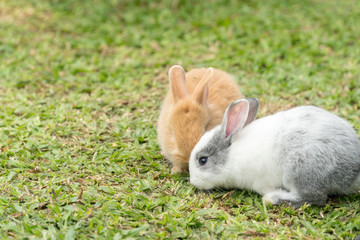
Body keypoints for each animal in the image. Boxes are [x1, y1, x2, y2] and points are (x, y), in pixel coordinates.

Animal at [188, 98, 360, 207]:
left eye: (202, 160)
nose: (193, 181)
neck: (231, 156)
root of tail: (353, 172)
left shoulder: (261, 183)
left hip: (299, 170)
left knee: (315, 198)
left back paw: (272, 199)